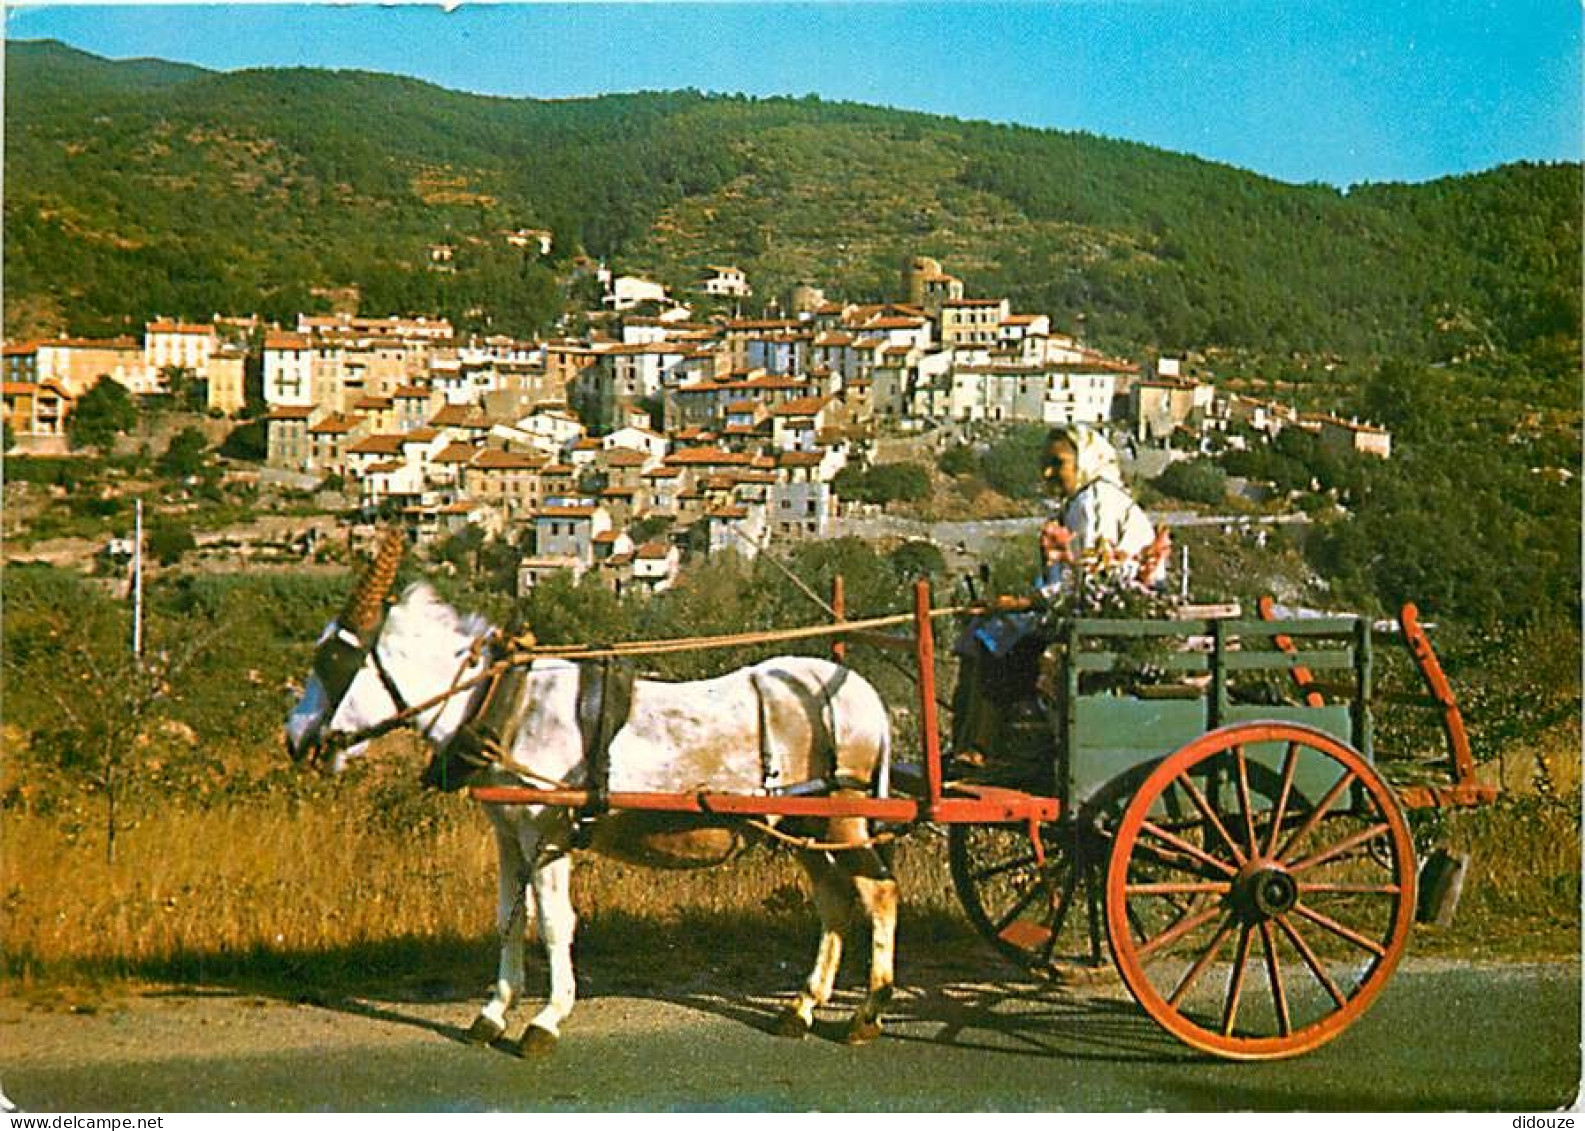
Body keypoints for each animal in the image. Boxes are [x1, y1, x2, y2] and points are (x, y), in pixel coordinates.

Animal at [286, 532, 900, 1051]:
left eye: (333, 658)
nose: (294, 739)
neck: (505, 703)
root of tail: (864, 694)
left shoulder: (547, 832)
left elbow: (555, 923)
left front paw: (545, 1020)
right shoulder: (509, 832)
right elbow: (509, 915)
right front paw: (492, 1014)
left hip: (842, 818)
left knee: (878, 893)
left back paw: (867, 1014)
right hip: (805, 827)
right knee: (834, 903)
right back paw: (801, 1009)